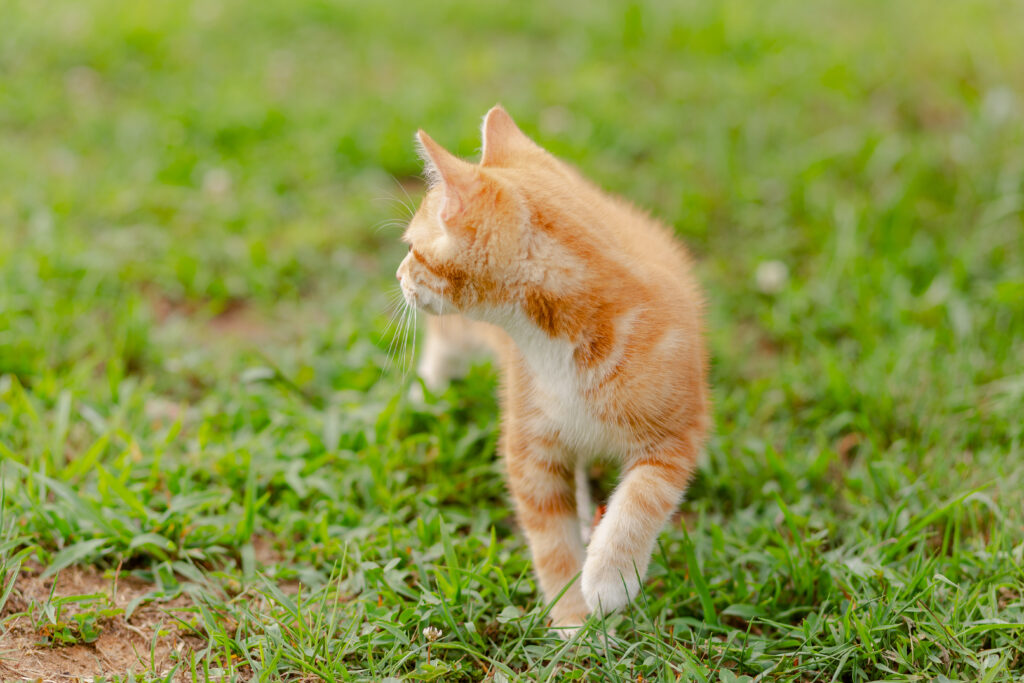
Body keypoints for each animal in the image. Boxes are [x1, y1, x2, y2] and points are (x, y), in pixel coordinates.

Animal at [393, 105, 712, 634]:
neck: (559, 344)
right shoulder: (529, 450)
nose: (398, 274)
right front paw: (572, 620)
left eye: (413, 249)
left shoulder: (680, 428)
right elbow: (550, 540)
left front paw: (609, 576)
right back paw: (426, 393)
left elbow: (644, 497)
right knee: (444, 341)